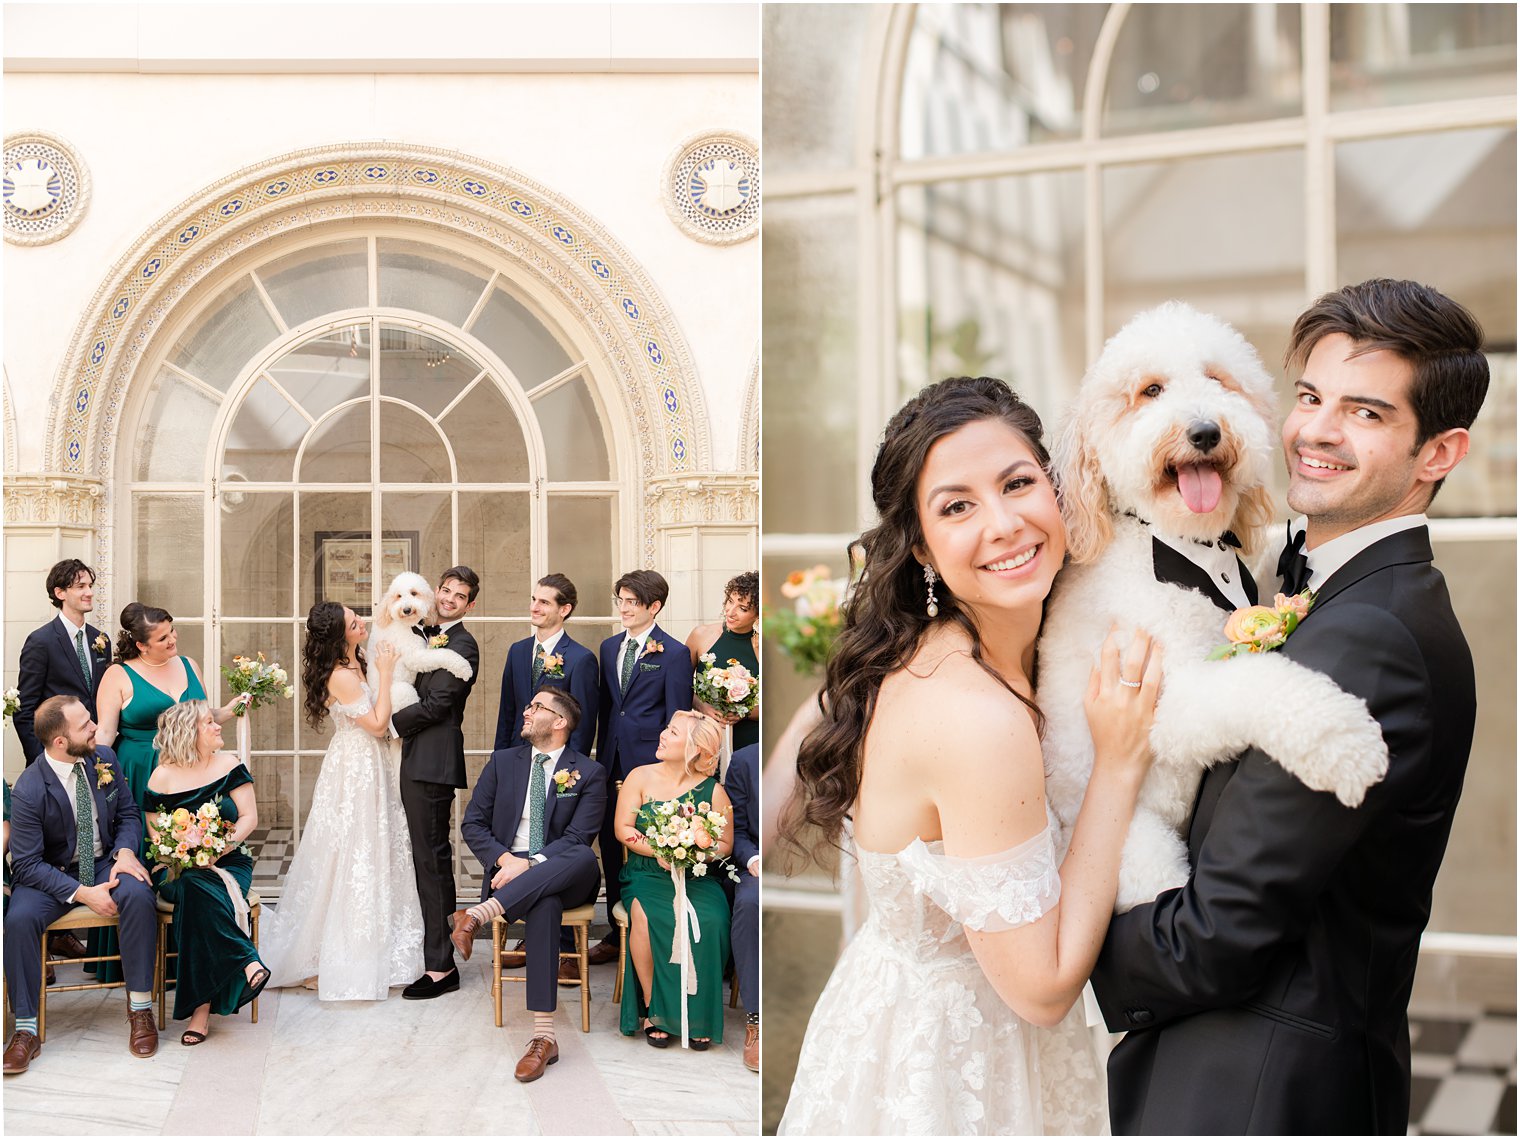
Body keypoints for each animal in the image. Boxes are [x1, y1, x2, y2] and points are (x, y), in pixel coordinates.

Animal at [366, 568, 468, 711]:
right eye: (398, 596)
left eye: (414, 593)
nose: (406, 609)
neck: (408, 624)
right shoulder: (414, 656)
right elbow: (442, 654)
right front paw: (464, 668)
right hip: (402, 691)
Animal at [1039, 298, 1386, 912]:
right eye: (1150, 390)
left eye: (1219, 380)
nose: (1204, 431)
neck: (1175, 544)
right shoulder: (1163, 697)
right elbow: (1259, 684)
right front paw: (1345, 743)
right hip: (1134, 854)